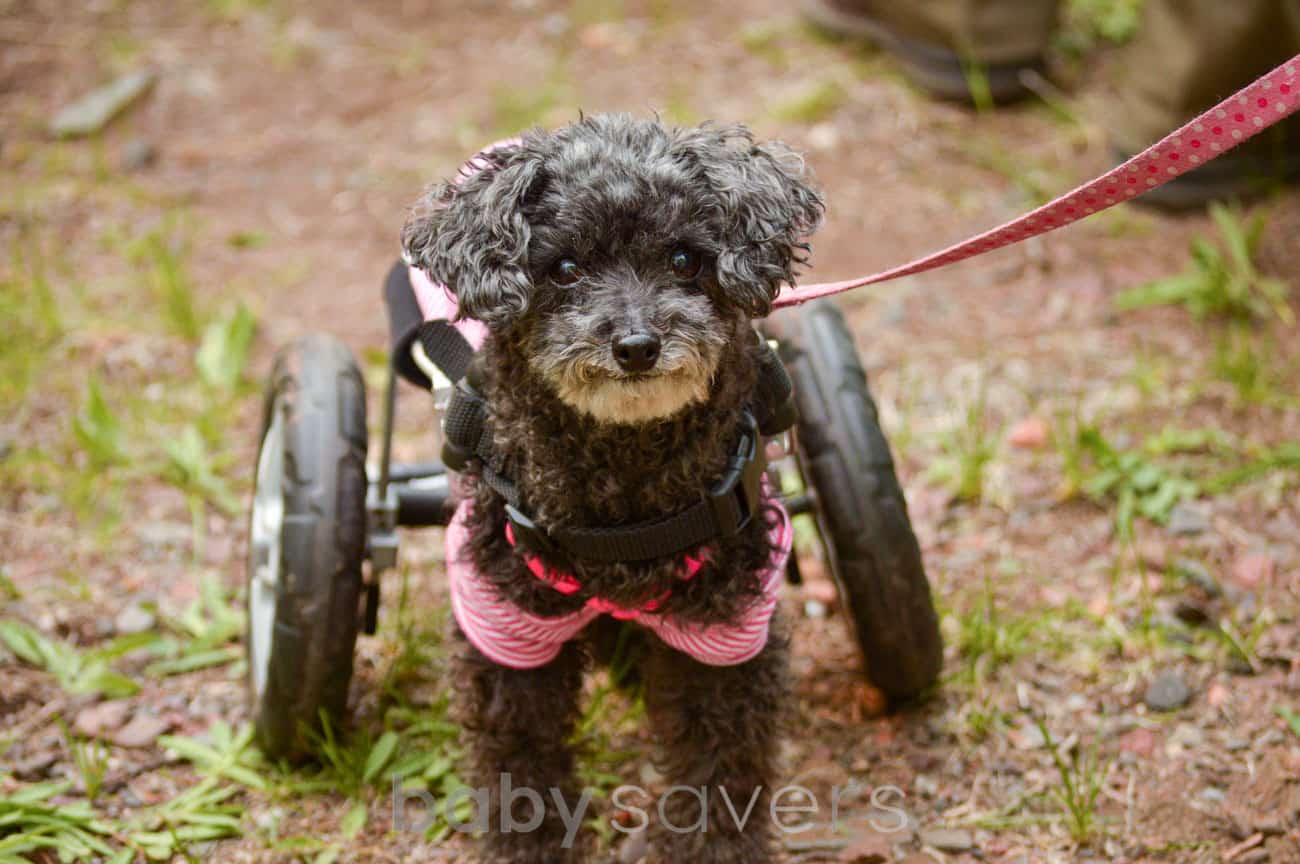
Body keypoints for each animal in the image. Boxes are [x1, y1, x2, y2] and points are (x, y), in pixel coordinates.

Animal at [400, 114, 816, 862]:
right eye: (565, 270)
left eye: (684, 260)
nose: (637, 345)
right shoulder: (504, 626)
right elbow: (519, 755)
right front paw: (531, 847)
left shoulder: (729, 630)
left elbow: (722, 763)